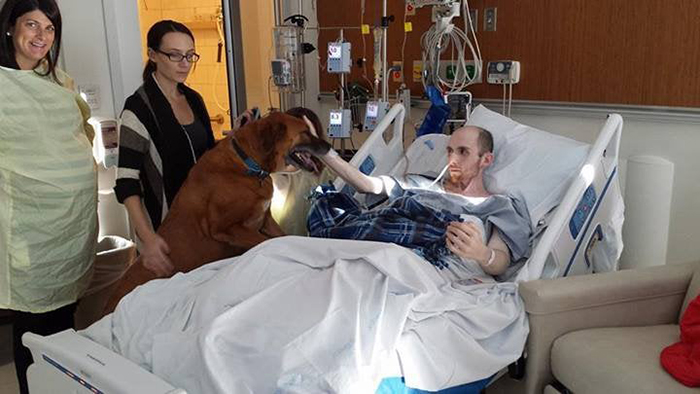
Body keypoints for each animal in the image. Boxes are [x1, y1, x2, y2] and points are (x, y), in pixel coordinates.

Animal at [105, 112, 332, 312]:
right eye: (305, 132)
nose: (329, 147)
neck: (248, 164)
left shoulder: (266, 220)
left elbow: (283, 237)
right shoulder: (227, 228)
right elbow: (267, 242)